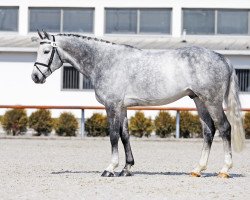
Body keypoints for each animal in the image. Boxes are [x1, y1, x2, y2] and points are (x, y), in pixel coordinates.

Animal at [32, 30, 245, 177]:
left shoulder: (112, 106)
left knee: (224, 128)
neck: (105, 61)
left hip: (212, 101)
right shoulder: (123, 107)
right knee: (209, 131)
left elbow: (113, 136)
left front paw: (110, 168)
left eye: (46, 51)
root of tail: (223, 59)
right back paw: (197, 169)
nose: (35, 77)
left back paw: (224, 170)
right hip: (199, 101)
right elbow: (125, 135)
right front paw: (126, 168)